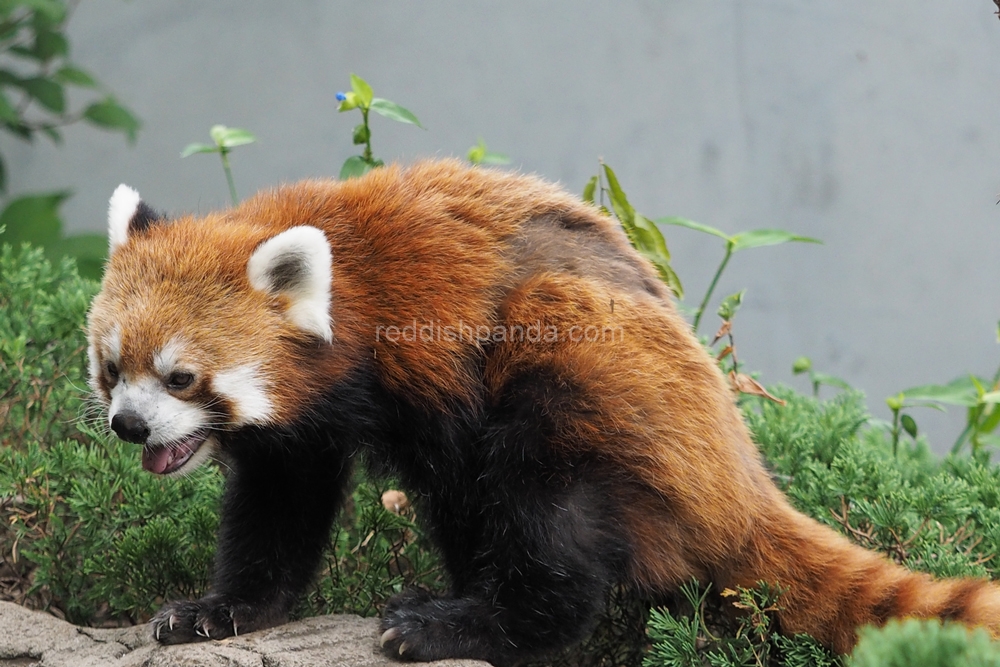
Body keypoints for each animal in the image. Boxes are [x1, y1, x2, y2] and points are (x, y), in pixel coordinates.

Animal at [84, 159, 1000, 664]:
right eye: (112, 368)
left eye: (182, 378)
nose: (131, 425)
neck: (356, 294)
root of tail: (741, 480)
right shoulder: (300, 429)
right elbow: (280, 507)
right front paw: (225, 609)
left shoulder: (436, 360)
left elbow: (477, 498)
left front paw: (462, 608)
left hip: (593, 376)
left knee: (549, 505)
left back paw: (463, 625)